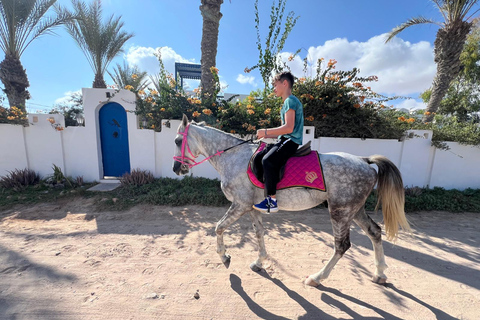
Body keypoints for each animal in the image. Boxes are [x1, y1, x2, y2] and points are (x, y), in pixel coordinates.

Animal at [171, 115, 410, 288]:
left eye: (177, 141)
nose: (176, 168)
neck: (234, 157)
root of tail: (364, 161)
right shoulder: (251, 207)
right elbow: (259, 233)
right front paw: (259, 262)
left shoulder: (239, 205)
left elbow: (218, 227)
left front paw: (224, 257)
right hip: (355, 209)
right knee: (374, 232)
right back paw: (379, 274)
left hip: (340, 211)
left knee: (342, 245)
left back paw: (317, 278)